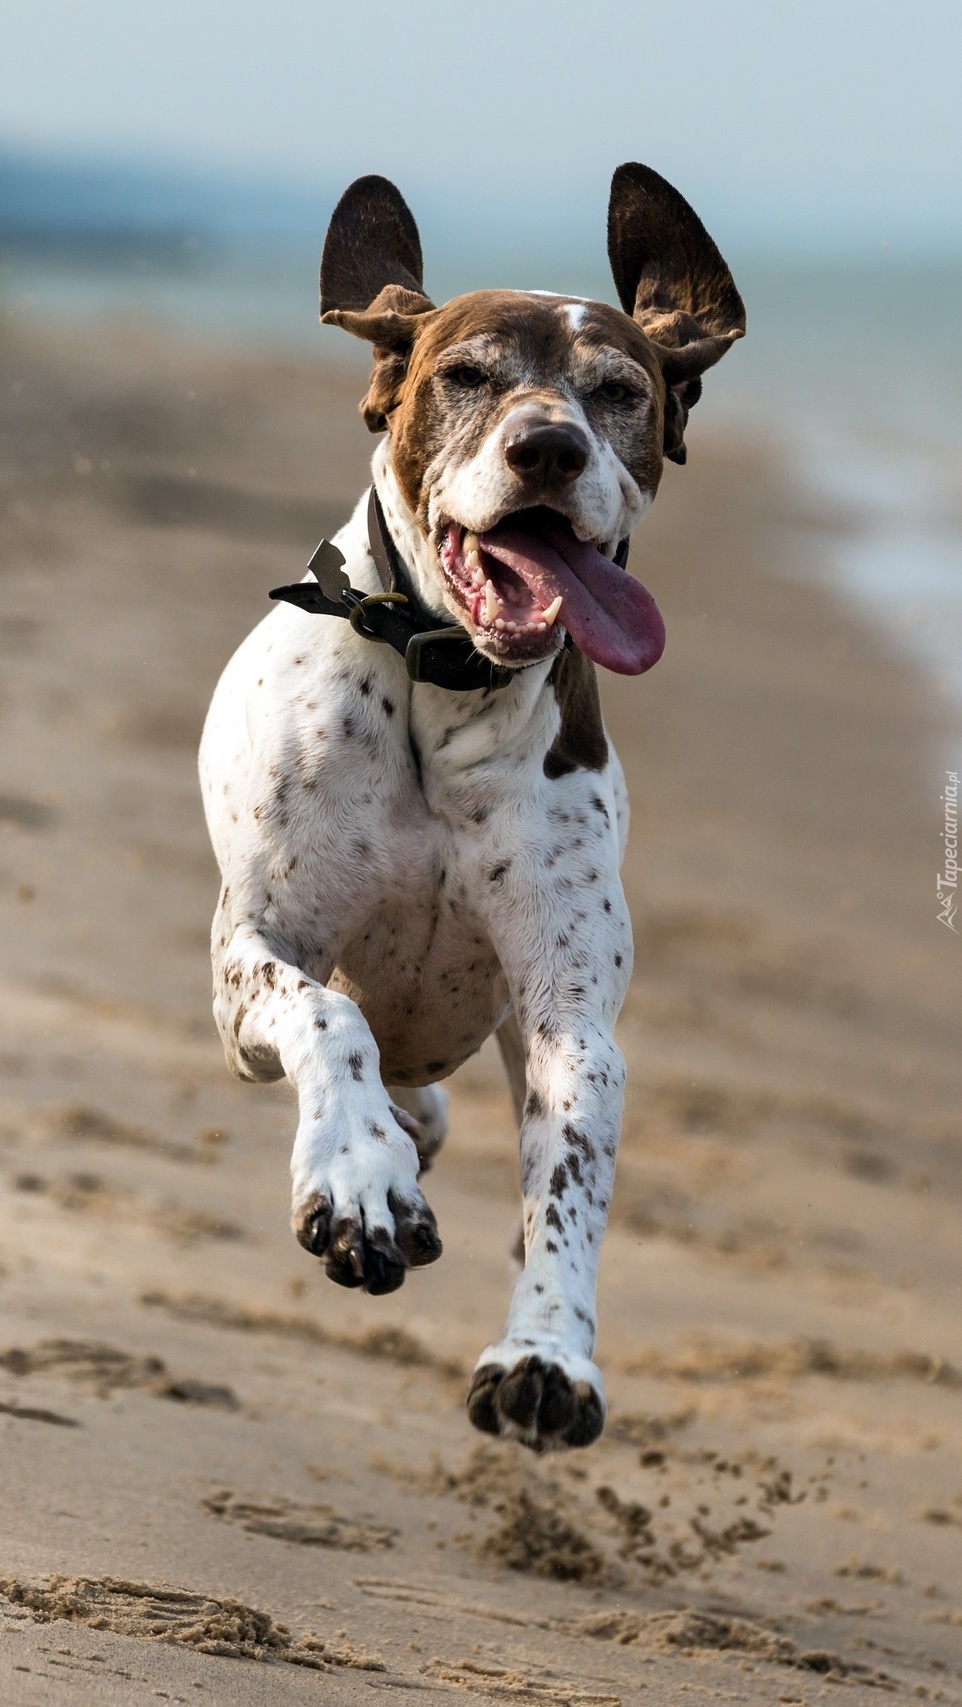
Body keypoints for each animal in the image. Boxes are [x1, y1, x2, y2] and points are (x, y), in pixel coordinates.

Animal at [201, 160, 743, 1447]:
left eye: (618, 392)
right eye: (465, 374)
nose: (546, 448)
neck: (447, 686)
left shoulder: (567, 1021)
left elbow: (569, 1182)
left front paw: (546, 1355)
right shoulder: (251, 959)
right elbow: (324, 1016)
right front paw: (355, 1180)